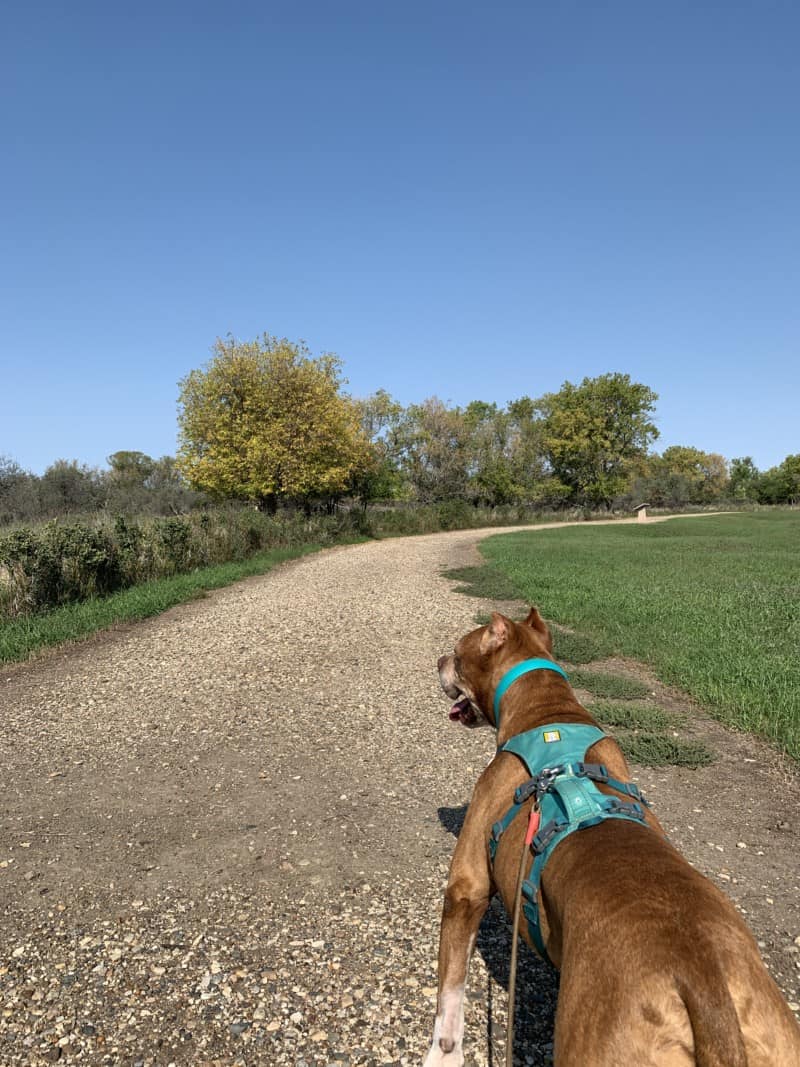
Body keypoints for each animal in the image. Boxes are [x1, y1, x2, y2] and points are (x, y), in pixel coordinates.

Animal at [426, 610, 800, 1067]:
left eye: (458, 654)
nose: (440, 658)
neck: (547, 713)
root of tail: (703, 985)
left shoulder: (468, 888)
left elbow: (450, 992)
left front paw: (442, 1052)